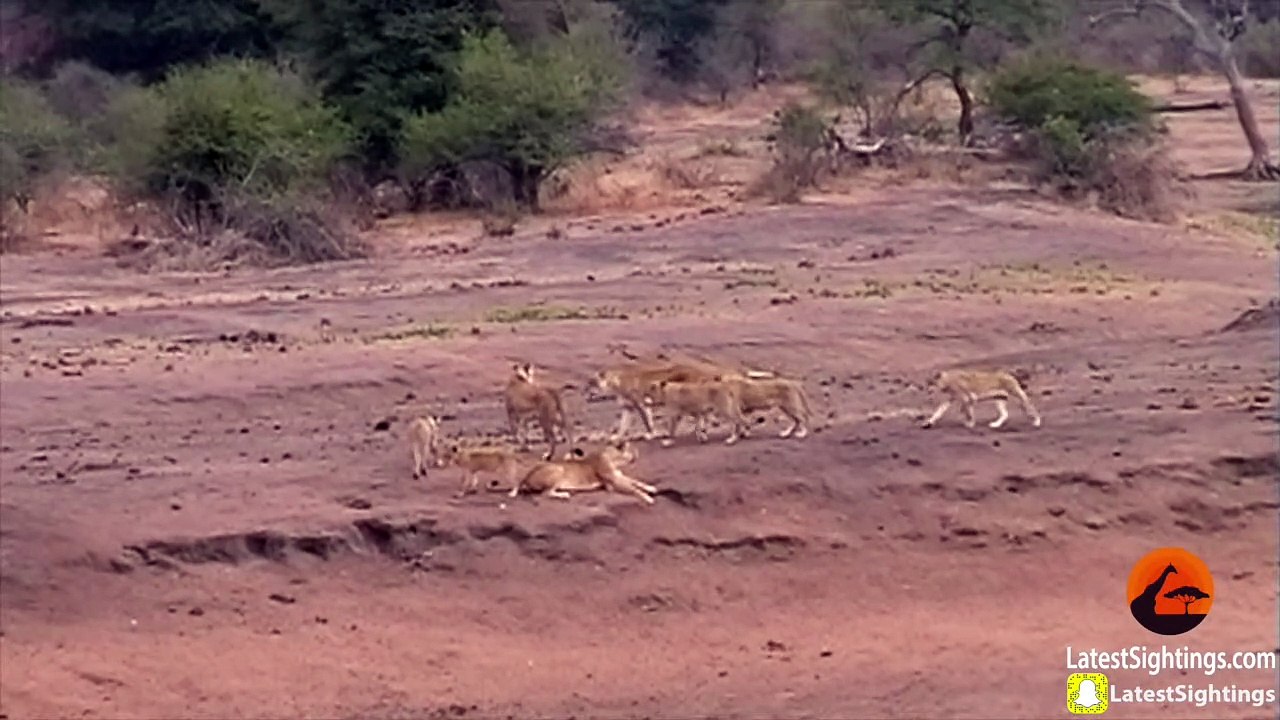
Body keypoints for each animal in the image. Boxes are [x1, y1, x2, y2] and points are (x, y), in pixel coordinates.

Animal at [510, 439, 656, 504]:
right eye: (633, 450)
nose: (638, 453)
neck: (614, 460)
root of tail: (527, 476)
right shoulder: (612, 483)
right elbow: (633, 488)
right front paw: (647, 497)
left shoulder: (618, 476)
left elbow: (636, 481)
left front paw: (651, 488)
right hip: (558, 469)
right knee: (546, 494)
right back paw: (564, 495)